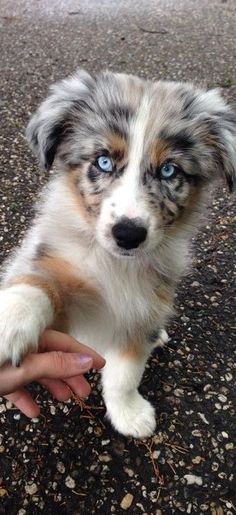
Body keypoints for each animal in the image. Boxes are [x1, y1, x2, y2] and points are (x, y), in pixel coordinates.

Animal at [0, 69, 236, 440]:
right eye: (104, 161)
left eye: (169, 170)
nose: (128, 235)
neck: (117, 266)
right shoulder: (58, 269)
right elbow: (40, 281)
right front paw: (12, 318)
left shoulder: (145, 308)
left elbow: (125, 372)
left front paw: (129, 414)